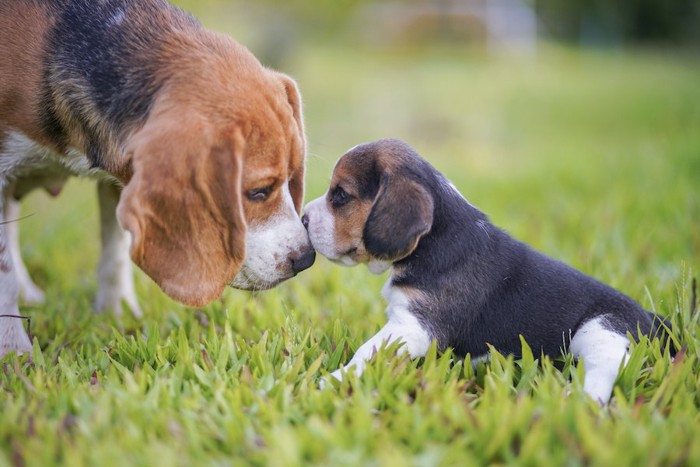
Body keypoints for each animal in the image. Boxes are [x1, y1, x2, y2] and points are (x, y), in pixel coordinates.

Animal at [0, 0, 314, 358]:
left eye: (292, 177)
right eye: (258, 191)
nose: (307, 258)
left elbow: (115, 254)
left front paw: (116, 316)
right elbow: (4, 270)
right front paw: (12, 348)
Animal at [304, 139, 672, 406]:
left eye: (340, 195)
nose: (304, 219)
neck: (437, 236)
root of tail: (653, 320)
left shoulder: (412, 327)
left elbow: (366, 351)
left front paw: (332, 381)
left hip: (600, 332)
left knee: (602, 373)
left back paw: (576, 400)